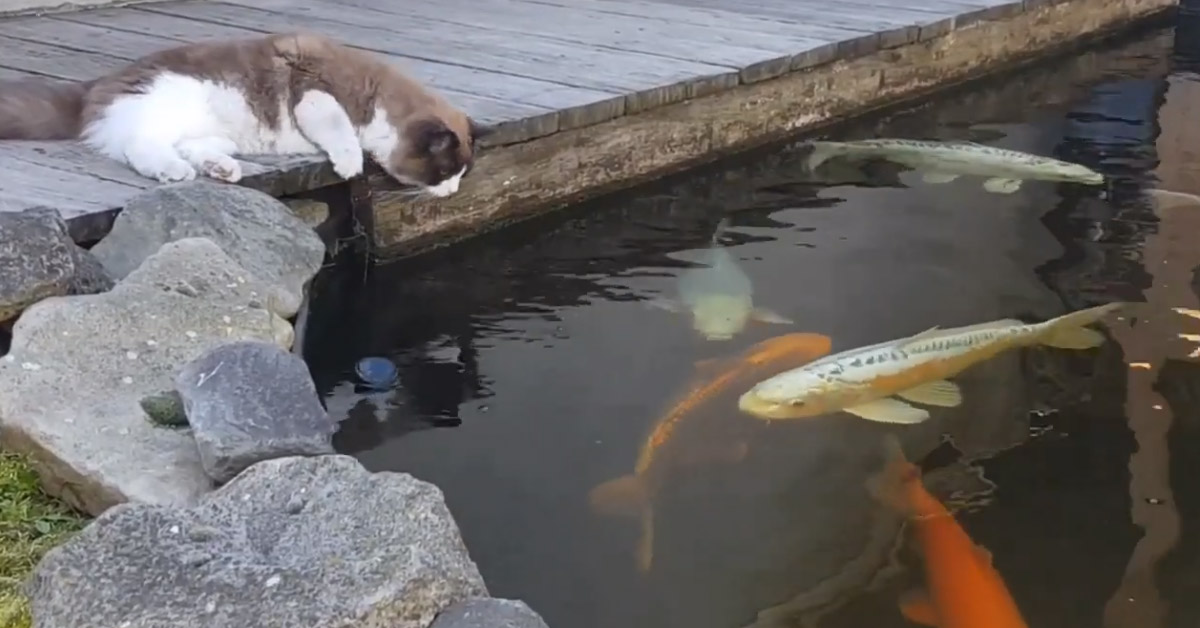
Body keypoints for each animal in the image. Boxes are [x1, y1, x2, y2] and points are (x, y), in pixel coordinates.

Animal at [0, 31, 492, 198]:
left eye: (459, 176)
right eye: (444, 173)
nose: (451, 192)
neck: (377, 96)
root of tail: (93, 87)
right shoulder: (313, 91)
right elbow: (339, 129)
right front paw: (351, 162)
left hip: (217, 132)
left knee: (191, 148)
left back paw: (223, 169)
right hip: (173, 102)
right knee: (141, 147)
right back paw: (174, 171)